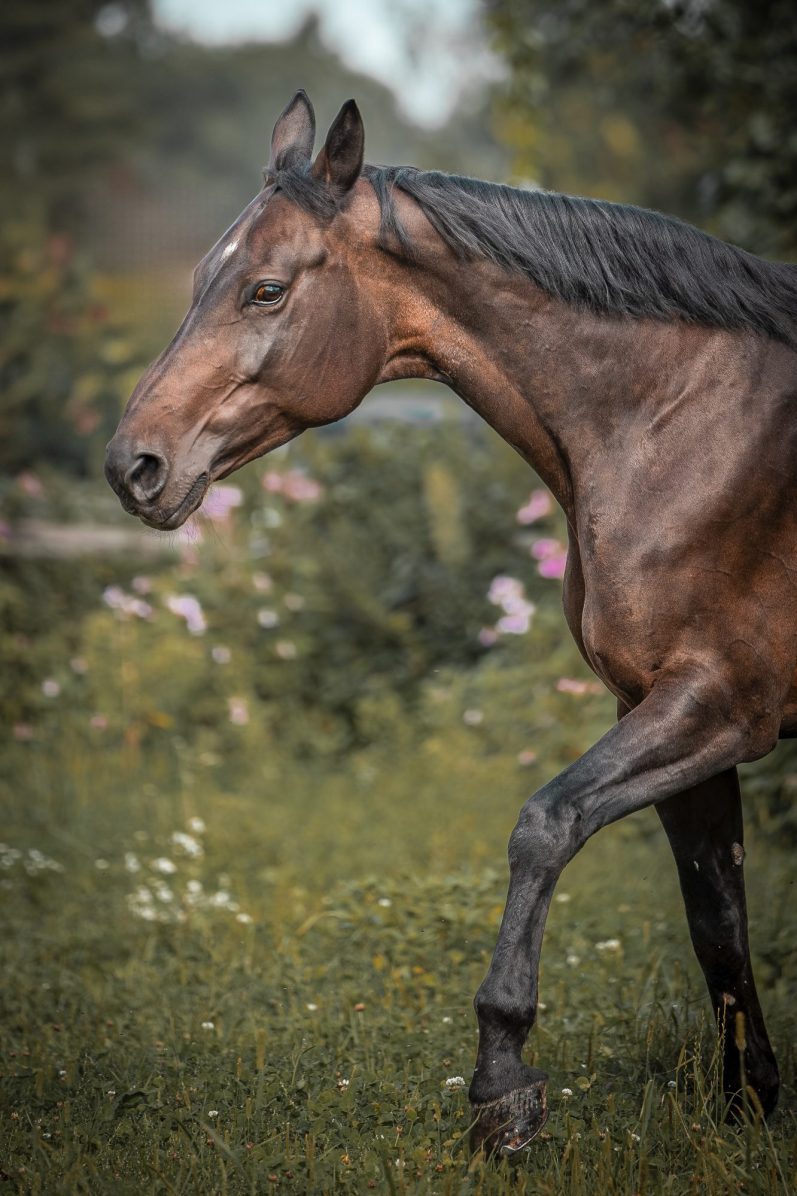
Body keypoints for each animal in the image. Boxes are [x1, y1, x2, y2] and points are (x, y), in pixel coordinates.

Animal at [105, 91, 797, 1157]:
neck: (681, 425)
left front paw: (502, 1086)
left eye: (265, 290)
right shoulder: (670, 712)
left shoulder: (718, 702)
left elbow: (544, 824)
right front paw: (748, 1107)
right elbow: (715, 920)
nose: (132, 465)